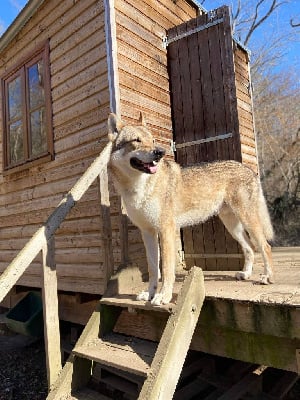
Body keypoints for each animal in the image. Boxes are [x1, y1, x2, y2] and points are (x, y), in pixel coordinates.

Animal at [108, 112, 274, 306]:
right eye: (137, 140)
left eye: (153, 139)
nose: (160, 152)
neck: (138, 188)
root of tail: (248, 169)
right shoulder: (147, 233)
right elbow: (153, 269)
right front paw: (149, 294)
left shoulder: (166, 231)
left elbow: (167, 270)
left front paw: (163, 296)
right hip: (232, 226)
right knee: (249, 248)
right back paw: (245, 274)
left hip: (248, 221)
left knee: (265, 246)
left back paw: (267, 277)